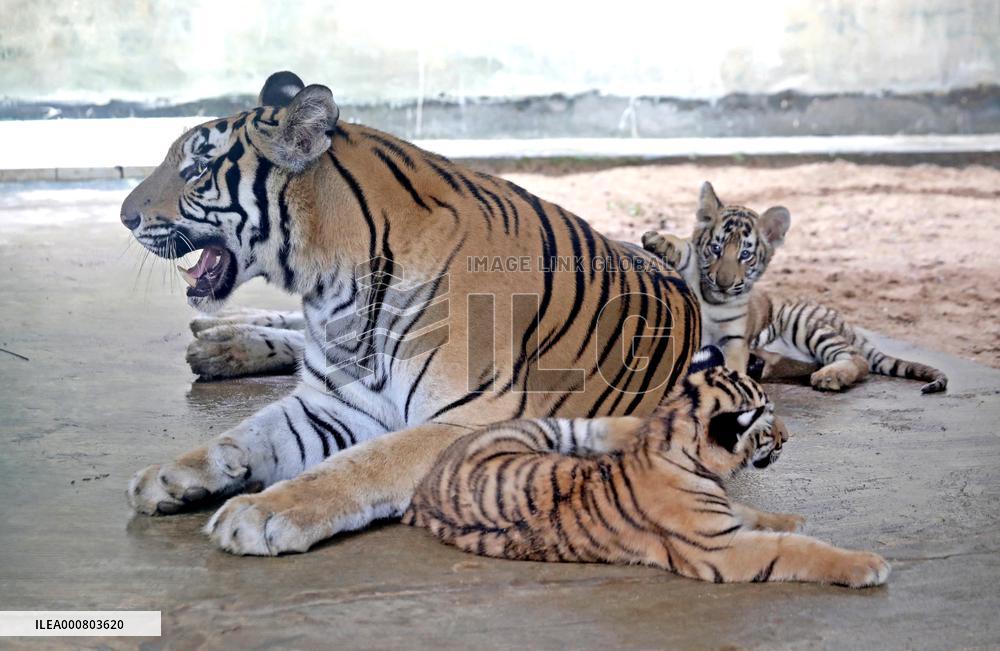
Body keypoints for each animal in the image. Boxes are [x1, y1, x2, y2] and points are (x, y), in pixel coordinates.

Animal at [121, 71, 700, 555]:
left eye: (196, 170)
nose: (125, 217)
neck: (332, 286)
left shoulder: (471, 421)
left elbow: (358, 465)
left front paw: (259, 511)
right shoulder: (330, 401)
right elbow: (243, 434)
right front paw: (171, 475)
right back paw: (218, 340)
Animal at [404, 346, 890, 588]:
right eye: (767, 420)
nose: (789, 437)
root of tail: (425, 483)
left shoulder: (724, 518)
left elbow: (754, 513)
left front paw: (790, 518)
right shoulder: (721, 549)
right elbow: (794, 550)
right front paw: (866, 565)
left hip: (550, 432)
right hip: (537, 429)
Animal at [641, 182, 948, 393]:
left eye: (745, 255)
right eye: (715, 248)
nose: (724, 283)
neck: (712, 300)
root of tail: (847, 324)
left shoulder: (734, 340)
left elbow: (731, 365)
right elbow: (687, 250)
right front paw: (659, 240)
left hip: (806, 325)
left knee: (857, 359)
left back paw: (830, 376)